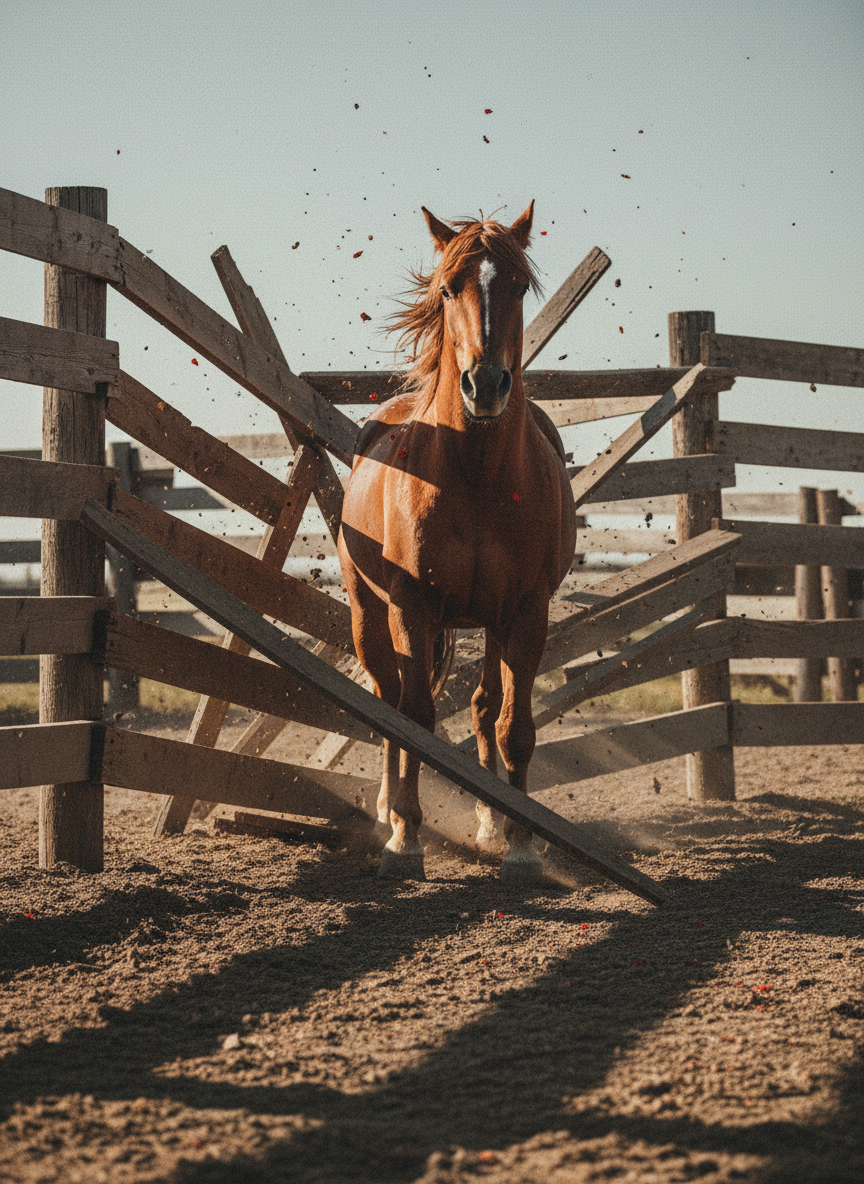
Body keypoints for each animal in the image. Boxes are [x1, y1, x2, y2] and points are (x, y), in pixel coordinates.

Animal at [337, 202, 578, 880]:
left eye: (519, 286)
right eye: (448, 288)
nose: (486, 385)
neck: (475, 475)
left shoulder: (525, 612)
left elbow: (512, 724)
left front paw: (520, 842)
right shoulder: (411, 605)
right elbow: (416, 717)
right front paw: (406, 836)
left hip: (489, 623)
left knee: (482, 705)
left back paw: (491, 821)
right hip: (370, 616)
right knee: (390, 701)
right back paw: (386, 811)